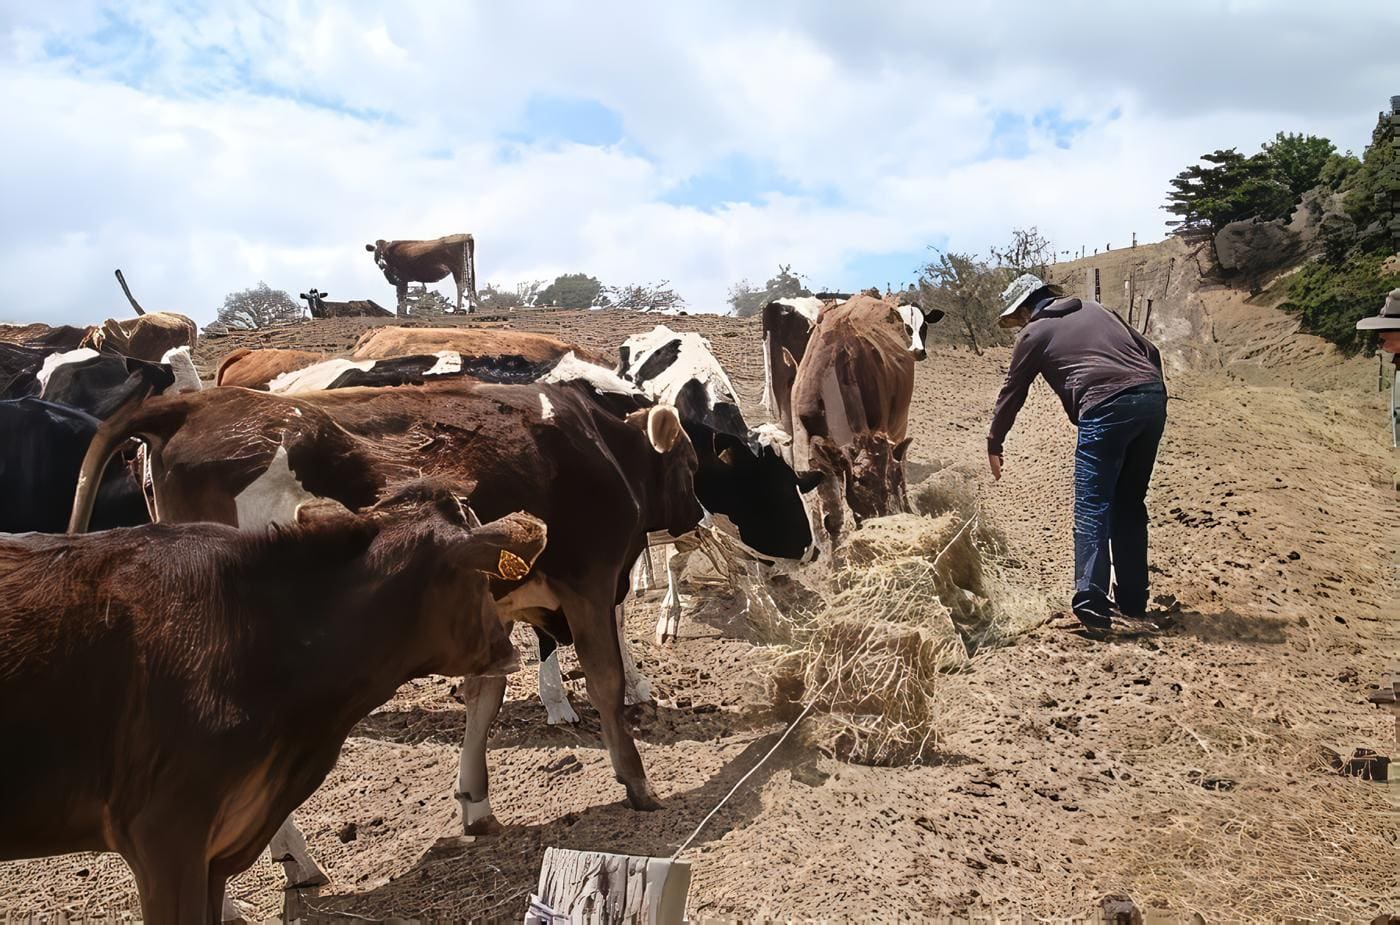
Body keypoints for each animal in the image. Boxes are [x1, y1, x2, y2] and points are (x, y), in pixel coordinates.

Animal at [616, 324, 817, 640]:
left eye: (792, 480)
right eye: (768, 492)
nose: (810, 551)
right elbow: (673, 557)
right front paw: (668, 615)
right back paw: (641, 579)